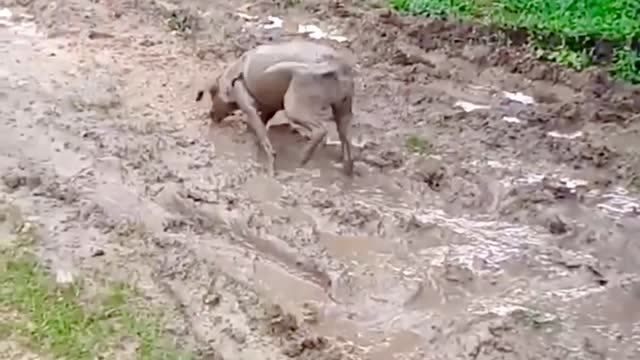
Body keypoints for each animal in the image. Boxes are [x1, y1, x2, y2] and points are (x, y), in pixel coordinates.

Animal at [195, 39, 356, 177]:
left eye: (212, 93)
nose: (211, 114)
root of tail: (334, 63)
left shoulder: (248, 106)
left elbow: (263, 137)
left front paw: (270, 163)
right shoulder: (268, 108)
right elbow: (260, 127)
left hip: (295, 107)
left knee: (320, 130)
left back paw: (304, 157)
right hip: (343, 111)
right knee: (345, 138)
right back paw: (347, 166)